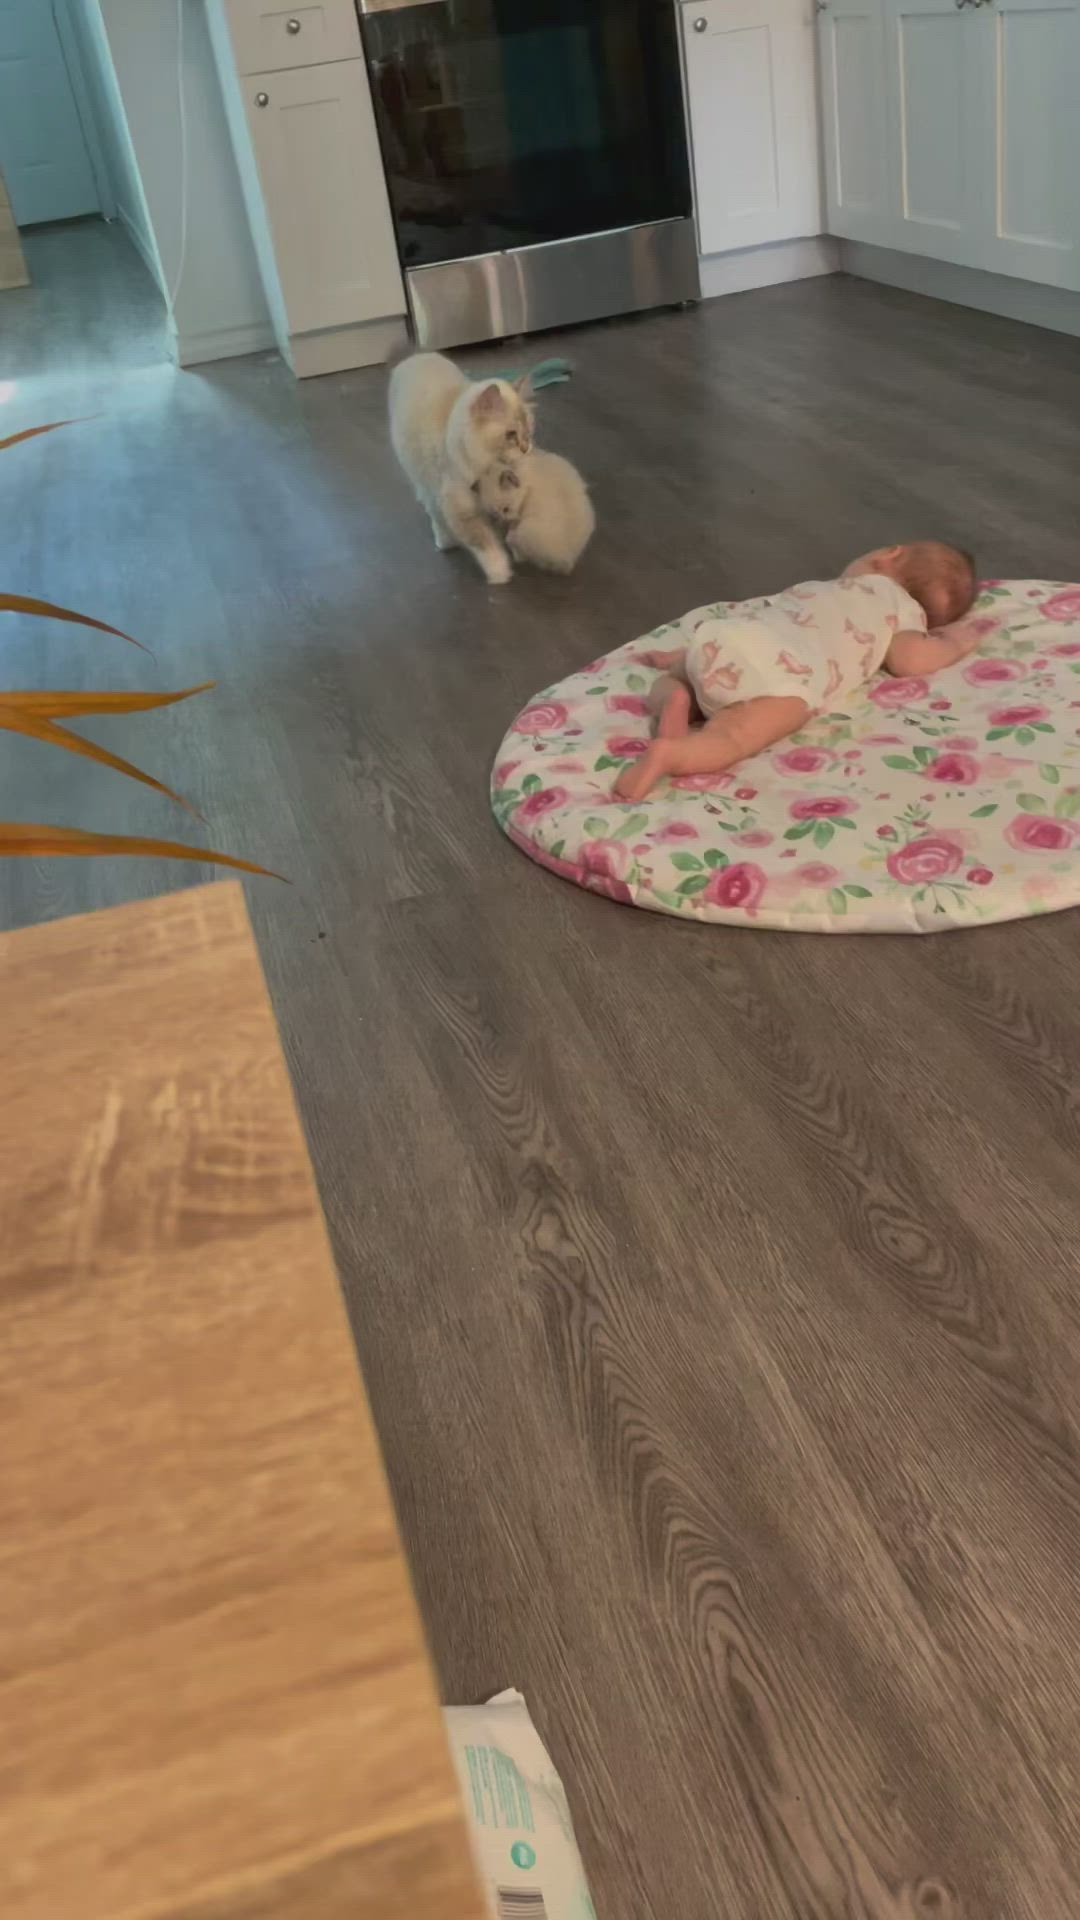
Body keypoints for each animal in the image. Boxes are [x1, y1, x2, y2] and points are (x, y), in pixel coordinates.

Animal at [390, 349, 534, 579]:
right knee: (432, 509)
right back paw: (444, 542)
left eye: (528, 430)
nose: (526, 448)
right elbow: (485, 543)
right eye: (511, 435)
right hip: (421, 477)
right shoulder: (459, 508)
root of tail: (417, 355)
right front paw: (501, 573)